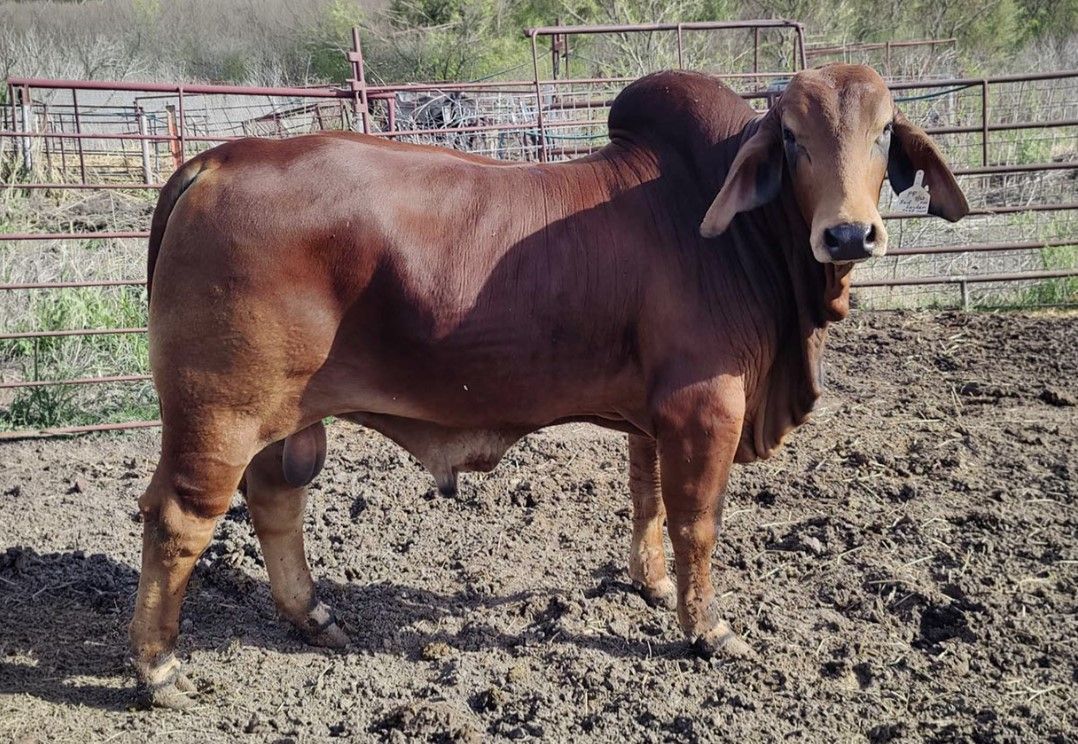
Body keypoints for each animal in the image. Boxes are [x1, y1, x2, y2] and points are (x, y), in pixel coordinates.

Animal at [130, 64, 968, 708]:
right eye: (792, 137)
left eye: (885, 130)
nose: (849, 234)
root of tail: (217, 160)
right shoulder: (704, 408)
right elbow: (698, 520)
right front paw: (707, 629)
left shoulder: (652, 416)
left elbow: (647, 498)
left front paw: (653, 587)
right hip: (220, 414)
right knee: (178, 520)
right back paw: (160, 670)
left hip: (286, 420)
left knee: (276, 500)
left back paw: (314, 617)